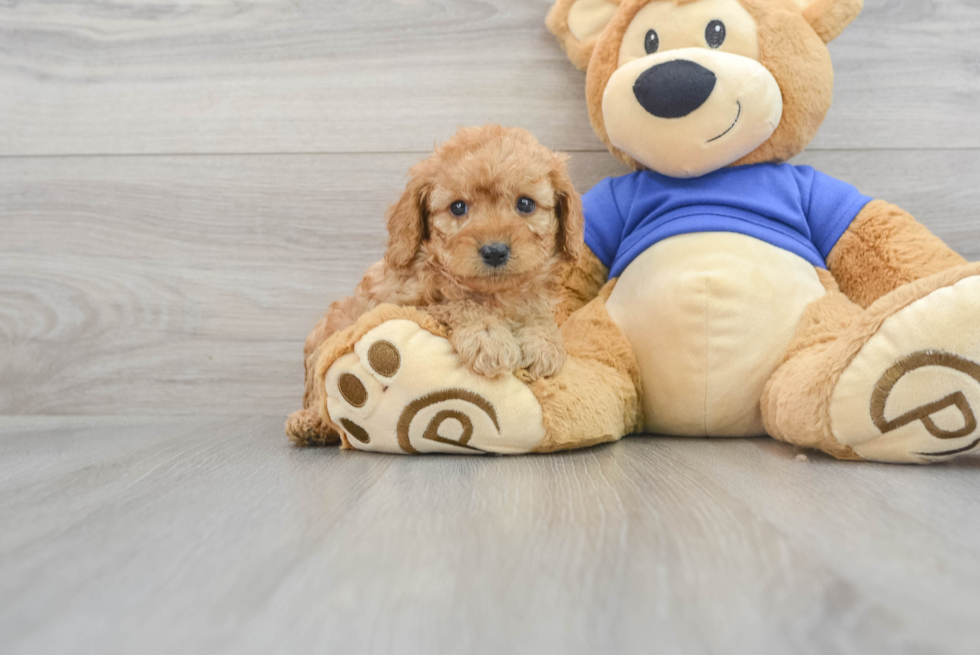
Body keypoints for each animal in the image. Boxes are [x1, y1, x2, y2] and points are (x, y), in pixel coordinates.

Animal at [288, 123, 584, 446]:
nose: (494, 251)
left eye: (525, 203)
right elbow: (457, 304)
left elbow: (537, 312)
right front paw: (489, 337)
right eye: (457, 207)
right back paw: (311, 423)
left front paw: (544, 344)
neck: (493, 294)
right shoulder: (405, 304)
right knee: (320, 396)